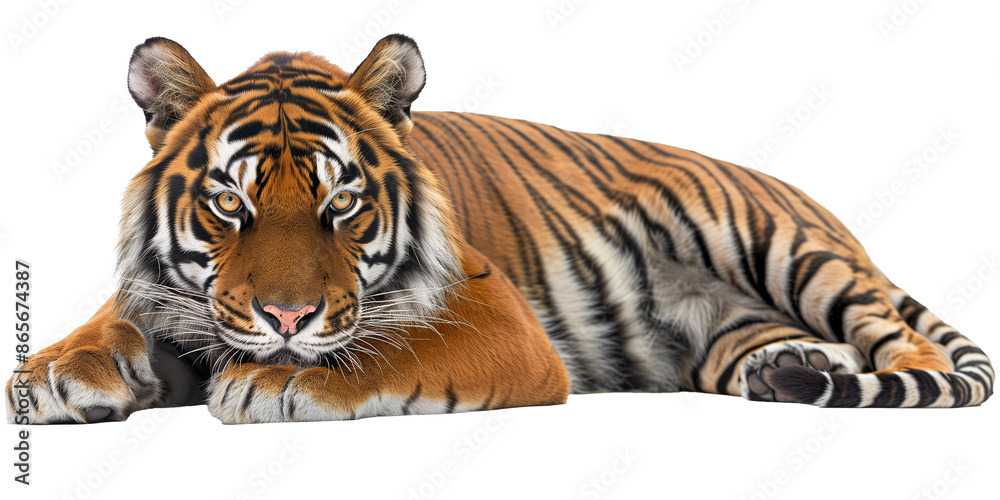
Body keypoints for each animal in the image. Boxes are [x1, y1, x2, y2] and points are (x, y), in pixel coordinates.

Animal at [6, 34, 993, 425]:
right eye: (229, 205)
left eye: (341, 205)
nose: (285, 321)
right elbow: (114, 319)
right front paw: (52, 372)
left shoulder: (503, 323)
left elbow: (387, 349)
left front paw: (271, 381)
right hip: (725, 336)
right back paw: (791, 367)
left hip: (787, 248)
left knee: (901, 342)